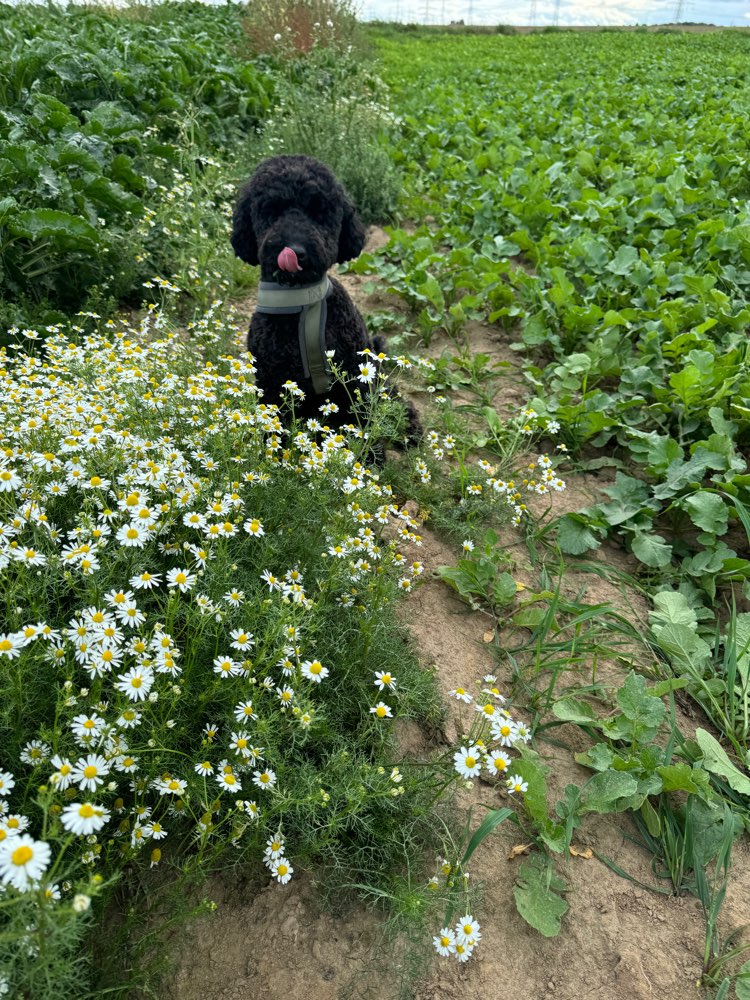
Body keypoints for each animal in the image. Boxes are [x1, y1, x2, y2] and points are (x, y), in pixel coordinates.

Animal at [232, 151, 420, 438]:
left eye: (318, 211)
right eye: (271, 210)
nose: (295, 250)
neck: (301, 301)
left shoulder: (355, 377)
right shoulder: (270, 382)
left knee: (391, 395)